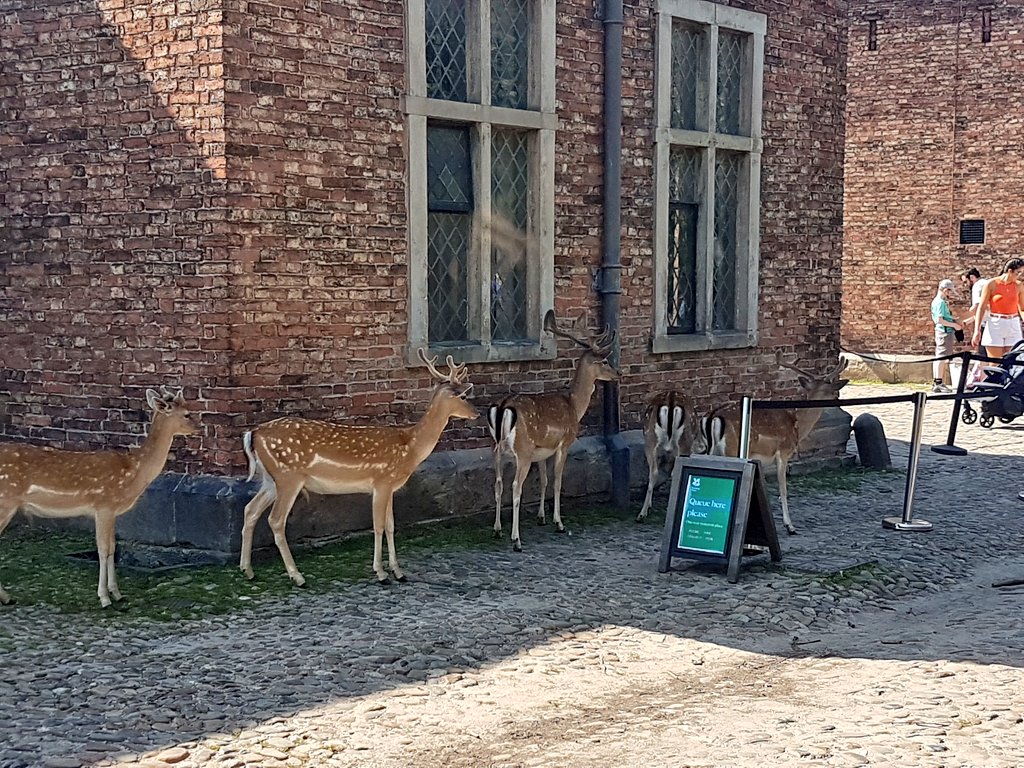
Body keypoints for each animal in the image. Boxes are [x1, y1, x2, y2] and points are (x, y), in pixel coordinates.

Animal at [0, 387, 200, 608]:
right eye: (187, 414)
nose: (199, 428)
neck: (132, 473)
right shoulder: (103, 505)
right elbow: (103, 549)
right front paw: (104, 598)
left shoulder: (112, 512)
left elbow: (112, 548)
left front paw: (117, 593)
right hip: (5, 501)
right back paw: (6, 597)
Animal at [239, 350, 477, 586]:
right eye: (464, 396)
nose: (477, 413)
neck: (409, 447)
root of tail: (253, 433)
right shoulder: (381, 481)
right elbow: (378, 526)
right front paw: (381, 573)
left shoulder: (390, 487)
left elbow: (391, 526)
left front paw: (398, 572)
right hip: (288, 476)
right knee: (275, 520)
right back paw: (297, 577)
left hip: (271, 479)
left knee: (250, 509)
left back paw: (247, 570)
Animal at [487, 311, 619, 552]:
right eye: (604, 361)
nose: (618, 373)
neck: (574, 406)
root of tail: (503, 407)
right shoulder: (564, 443)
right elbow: (557, 481)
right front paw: (558, 522)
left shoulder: (541, 452)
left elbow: (545, 480)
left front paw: (541, 517)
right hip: (523, 450)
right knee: (515, 487)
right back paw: (516, 540)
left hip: (497, 450)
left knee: (498, 484)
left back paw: (497, 530)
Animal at [699, 353, 849, 535]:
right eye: (831, 390)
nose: (837, 397)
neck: (797, 426)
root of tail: (712, 417)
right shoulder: (783, 452)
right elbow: (783, 489)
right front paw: (790, 526)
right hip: (731, 450)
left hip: (710, 450)